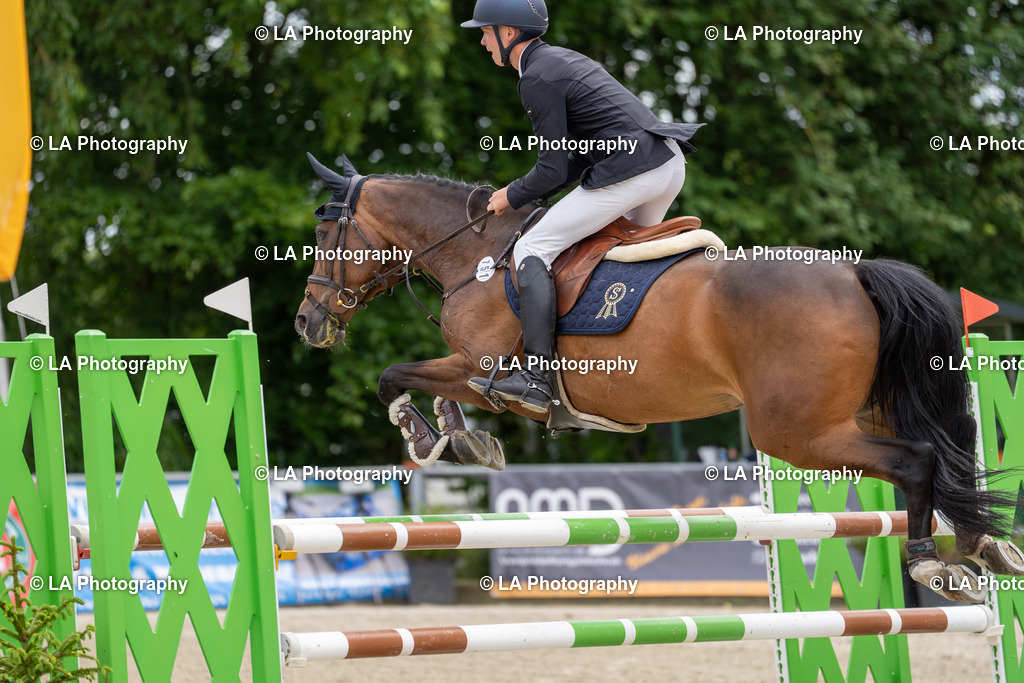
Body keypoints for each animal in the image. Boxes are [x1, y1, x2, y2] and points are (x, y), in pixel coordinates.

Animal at [293, 153, 1024, 603]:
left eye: (326, 235)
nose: (308, 321)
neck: (478, 251)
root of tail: (854, 272)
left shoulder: (480, 370)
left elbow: (394, 376)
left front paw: (429, 436)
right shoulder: (472, 375)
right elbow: (424, 387)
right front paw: (460, 437)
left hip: (797, 432)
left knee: (918, 458)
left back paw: (934, 556)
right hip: (860, 412)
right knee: (944, 457)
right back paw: (982, 545)